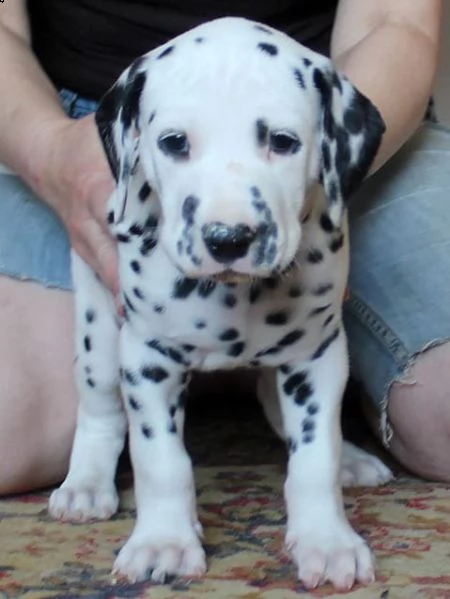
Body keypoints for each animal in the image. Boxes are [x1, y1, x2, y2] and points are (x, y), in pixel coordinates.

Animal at [48, 17, 390, 592]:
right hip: (97, 327)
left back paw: (352, 461)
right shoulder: (149, 360)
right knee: (98, 405)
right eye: (174, 142)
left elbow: (314, 456)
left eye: (282, 142)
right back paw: (86, 485)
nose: (228, 237)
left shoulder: (317, 355)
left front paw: (327, 540)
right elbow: (160, 460)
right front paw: (163, 541)